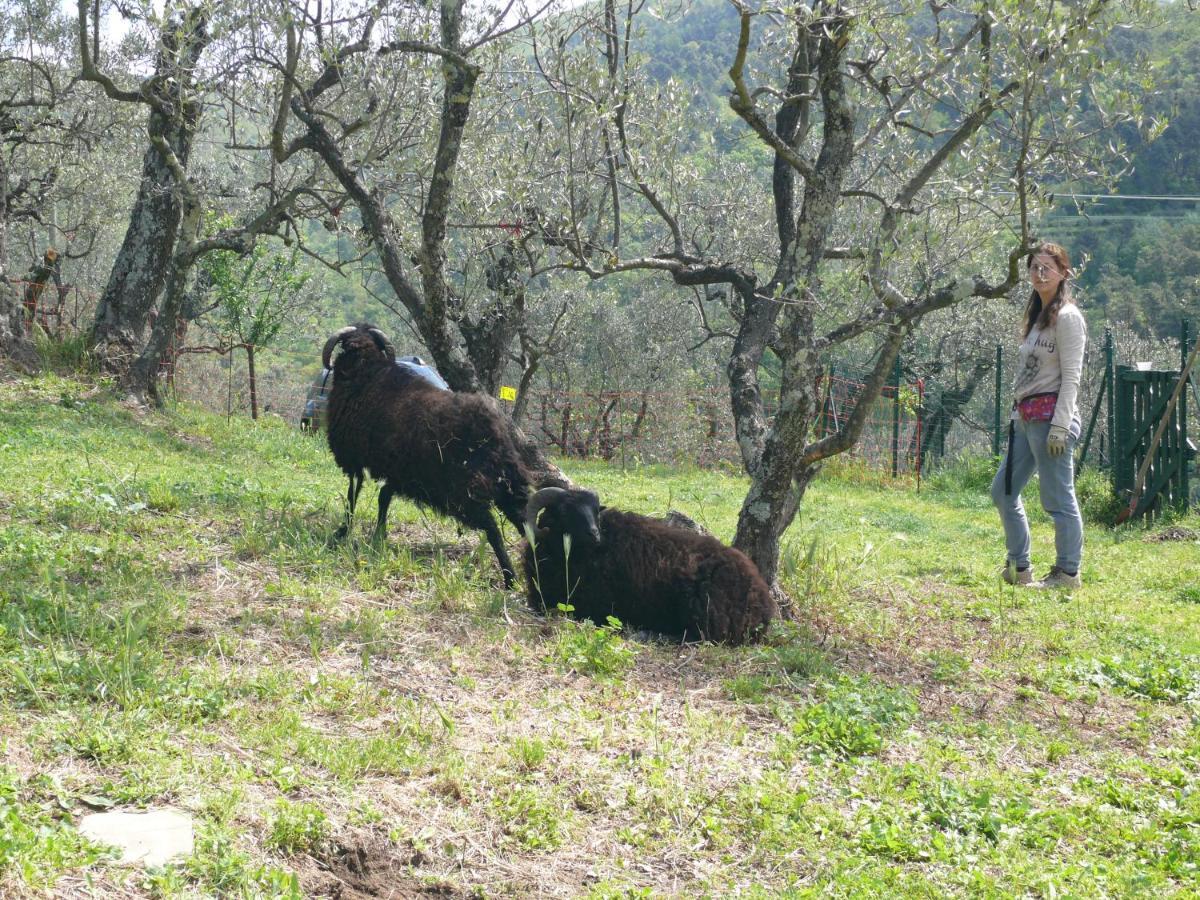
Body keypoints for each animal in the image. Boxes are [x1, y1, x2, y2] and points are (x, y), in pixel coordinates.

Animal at [520, 489, 772, 643]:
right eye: (564, 510)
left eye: (594, 511)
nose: (594, 534)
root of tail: (763, 601)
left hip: (703, 608)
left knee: (700, 636)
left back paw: (647, 633)